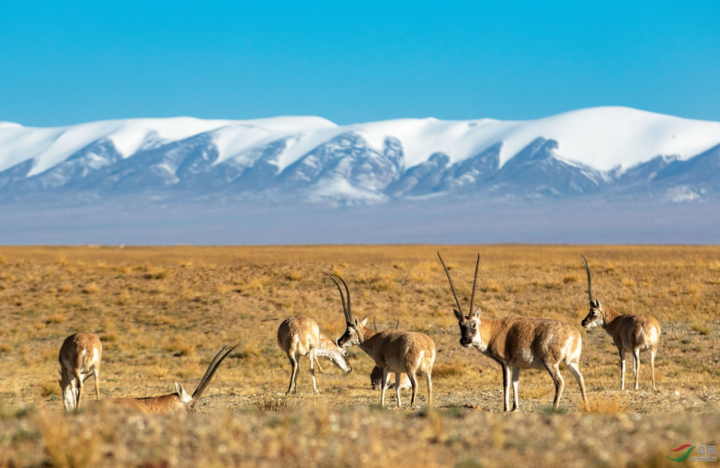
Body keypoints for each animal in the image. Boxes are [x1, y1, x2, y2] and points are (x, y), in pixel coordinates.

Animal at [328, 272, 438, 408]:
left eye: (348, 331)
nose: (340, 342)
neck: (375, 339)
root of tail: (427, 346)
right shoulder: (397, 371)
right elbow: (396, 387)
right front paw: (399, 405)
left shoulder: (383, 367)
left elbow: (384, 386)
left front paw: (381, 404)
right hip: (427, 370)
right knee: (429, 386)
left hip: (410, 370)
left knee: (415, 385)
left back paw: (412, 404)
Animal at [436, 254, 588, 412]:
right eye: (460, 325)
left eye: (473, 324)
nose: (465, 341)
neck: (493, 330)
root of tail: (573, 334)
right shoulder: (516, 365)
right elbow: (515, 383)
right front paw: (515, 407)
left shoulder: (505, 363)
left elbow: (506, 384)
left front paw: (506, 408)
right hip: (571, 362)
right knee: (580, 378)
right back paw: (586, 405)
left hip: (550, 363)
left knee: (559, 382)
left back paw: (554, 407)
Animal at [584, 256, 660, 392]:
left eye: (592, 311)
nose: (584, 323)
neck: (617, 320)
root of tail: (649, 326)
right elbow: (633, 368)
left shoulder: (621, 348)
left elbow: (623, 366)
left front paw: (622, 387)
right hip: (652, 348)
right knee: (651, 363)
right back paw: (653, 387)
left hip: (636, 349)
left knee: (638, 363)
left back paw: (635, 387)